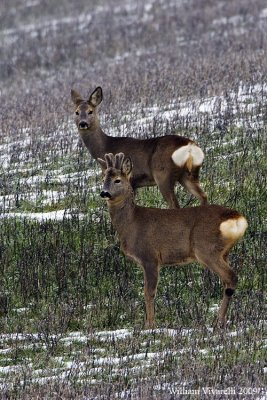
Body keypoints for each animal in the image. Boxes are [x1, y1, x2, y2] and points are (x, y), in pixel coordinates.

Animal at [71, 86, 209, 208]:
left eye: (90, 111)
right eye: (76, 112)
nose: (83, 123)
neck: (105, 147)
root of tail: (190, 147)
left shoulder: (128, 179)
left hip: (163, 175)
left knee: (175, 205)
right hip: (188, 174)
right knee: (203, 196)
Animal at [99, 153, 249, 328]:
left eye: (117, 180)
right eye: (103, 178)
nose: (104, 193)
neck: (131, 223)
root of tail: (237, 218)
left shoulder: (150, 257)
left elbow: (148, 292)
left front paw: (150, 325)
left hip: (206, 249)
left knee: (231, 277)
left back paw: (218, 322)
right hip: (223, 252)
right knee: (227, 281)